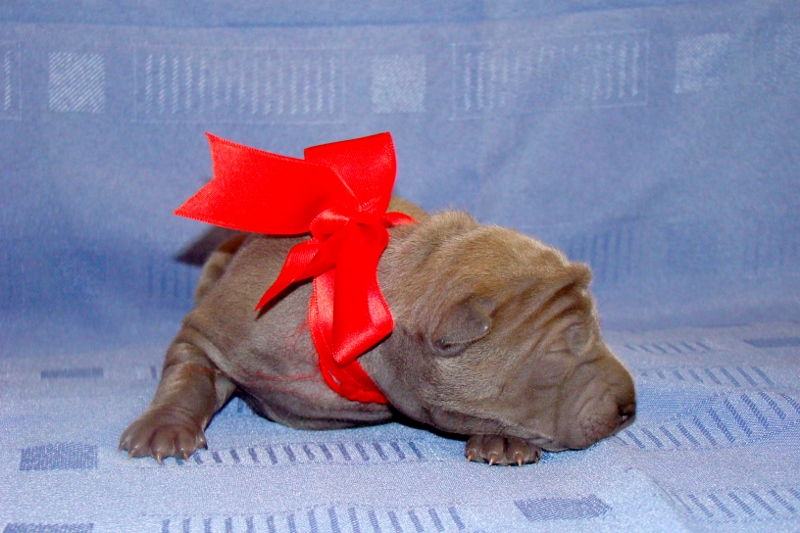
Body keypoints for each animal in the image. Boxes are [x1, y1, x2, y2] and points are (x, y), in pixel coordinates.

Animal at [120, 197, 635, 466]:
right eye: (562, 351)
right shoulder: (221, 329)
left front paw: (504, 441)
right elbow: (189, 371)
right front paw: (165, 427)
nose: (630, 407)